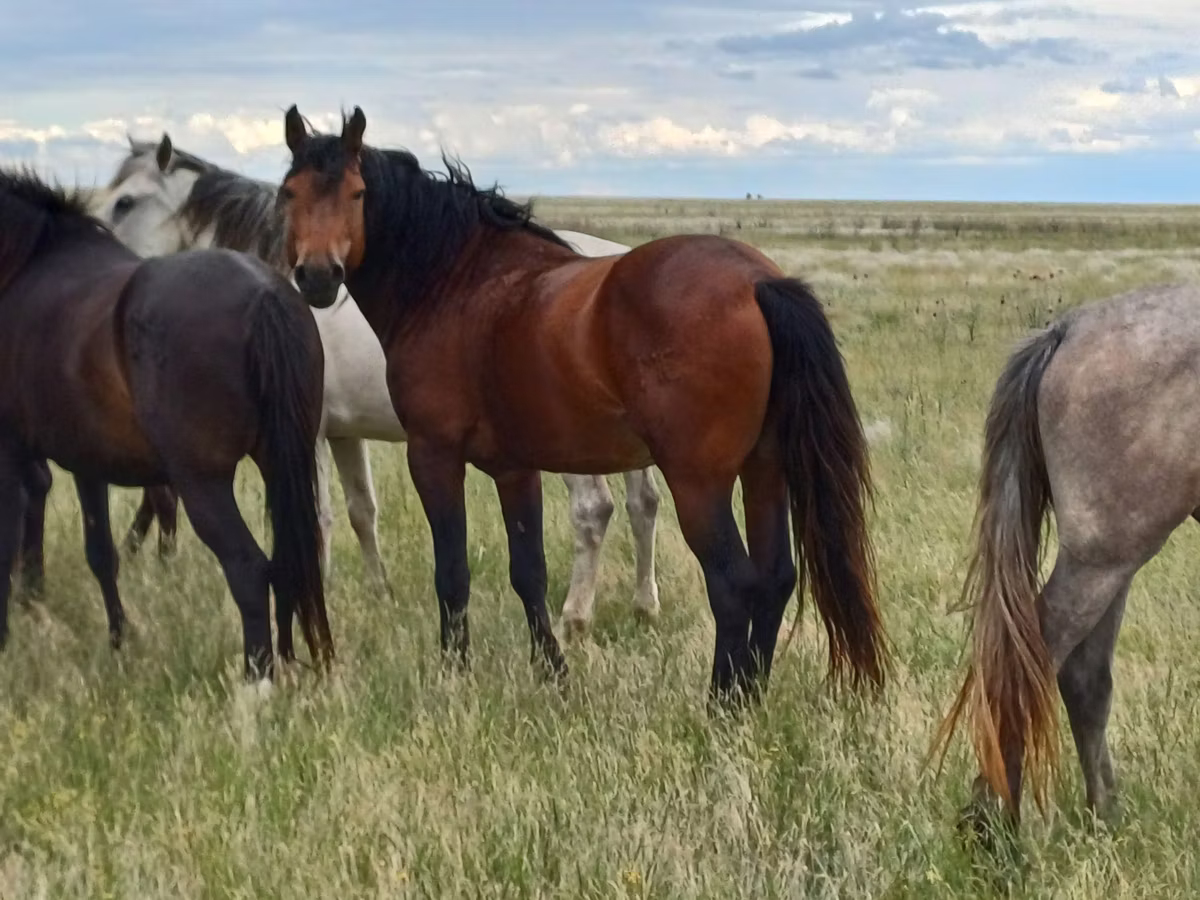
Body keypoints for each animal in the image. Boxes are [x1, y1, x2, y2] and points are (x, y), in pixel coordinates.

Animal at [0, 165, 333, 678]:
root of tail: (263, 294)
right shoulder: (86, 460)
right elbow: (102, 553)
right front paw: (118, 641)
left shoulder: (12, 450)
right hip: (281, 463)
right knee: (288, 564)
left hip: (202, 482)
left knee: (248, 567)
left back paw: (257, 681)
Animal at [89, 135, 663, 632]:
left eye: (125, 202)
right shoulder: (345, 434)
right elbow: (361, 510)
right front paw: (379, 591)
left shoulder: (311, 433)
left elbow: (317, 518)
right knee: (644, 505)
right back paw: (643, 606)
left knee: (594, 511)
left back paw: (573, 618)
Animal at [274, 105, 887, 704]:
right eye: (290, 192)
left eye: (356, 193)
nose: (318, 275)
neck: (455, 282)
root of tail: (757, 281)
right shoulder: (514, 468)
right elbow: (530, 572)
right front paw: (553, 673)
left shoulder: (432, 455)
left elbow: (451, 573)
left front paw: (454, 674)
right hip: (765, 469)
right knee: (776, 574)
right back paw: (752, 695)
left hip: (699, 482)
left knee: (735, 582)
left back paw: (722, 705)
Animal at [932, 281, 1200, 842]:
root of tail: (1069, 329)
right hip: (1105, 559)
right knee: (1033, 658)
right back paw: (994, 825)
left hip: (1110, 560)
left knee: (1084, 674)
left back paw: (1104, 817)